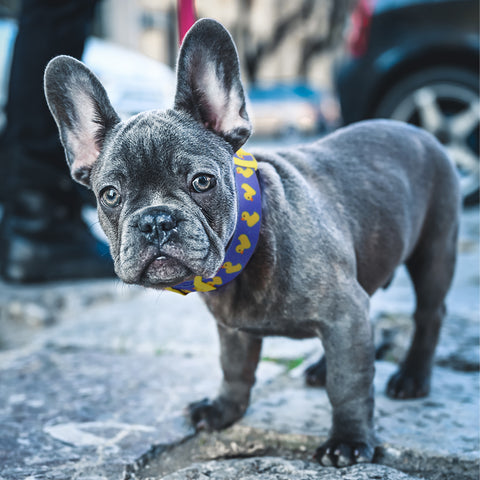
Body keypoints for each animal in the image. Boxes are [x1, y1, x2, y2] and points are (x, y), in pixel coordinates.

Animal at [43, 17, 460, 464]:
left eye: (201, 182)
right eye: (110, 195)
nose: (156, 220)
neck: (249, 249)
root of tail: (418, 131)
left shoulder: (344, 313)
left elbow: (349, 382)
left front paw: (348, 440)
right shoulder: (235, 329)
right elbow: (235, 370)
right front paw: (223, 411)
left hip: (435, 250)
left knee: (429, 314)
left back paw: (411, 377)